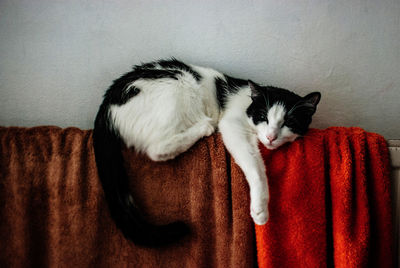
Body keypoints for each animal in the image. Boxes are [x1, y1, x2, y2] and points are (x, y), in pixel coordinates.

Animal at [92, 58, 320, 247]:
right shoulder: (232, 125)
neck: (247, 105)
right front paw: (260, 208)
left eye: (289, 122)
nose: (271, 136)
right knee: (156, 149)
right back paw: (205, 126)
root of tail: (105, 106)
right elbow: (255, 167)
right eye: (263, 116)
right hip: (179, 83)